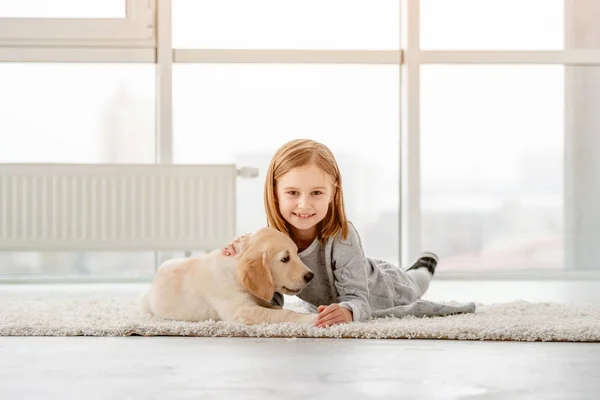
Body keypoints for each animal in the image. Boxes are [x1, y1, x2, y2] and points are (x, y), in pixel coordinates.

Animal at [140, 228, 316, 324]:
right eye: (285, 259)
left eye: (296, 253)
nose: (310, 276)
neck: (235, 272)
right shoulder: (241, 310)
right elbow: (284, 313)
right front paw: (310, 319)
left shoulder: (257, 300)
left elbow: (276, 308)